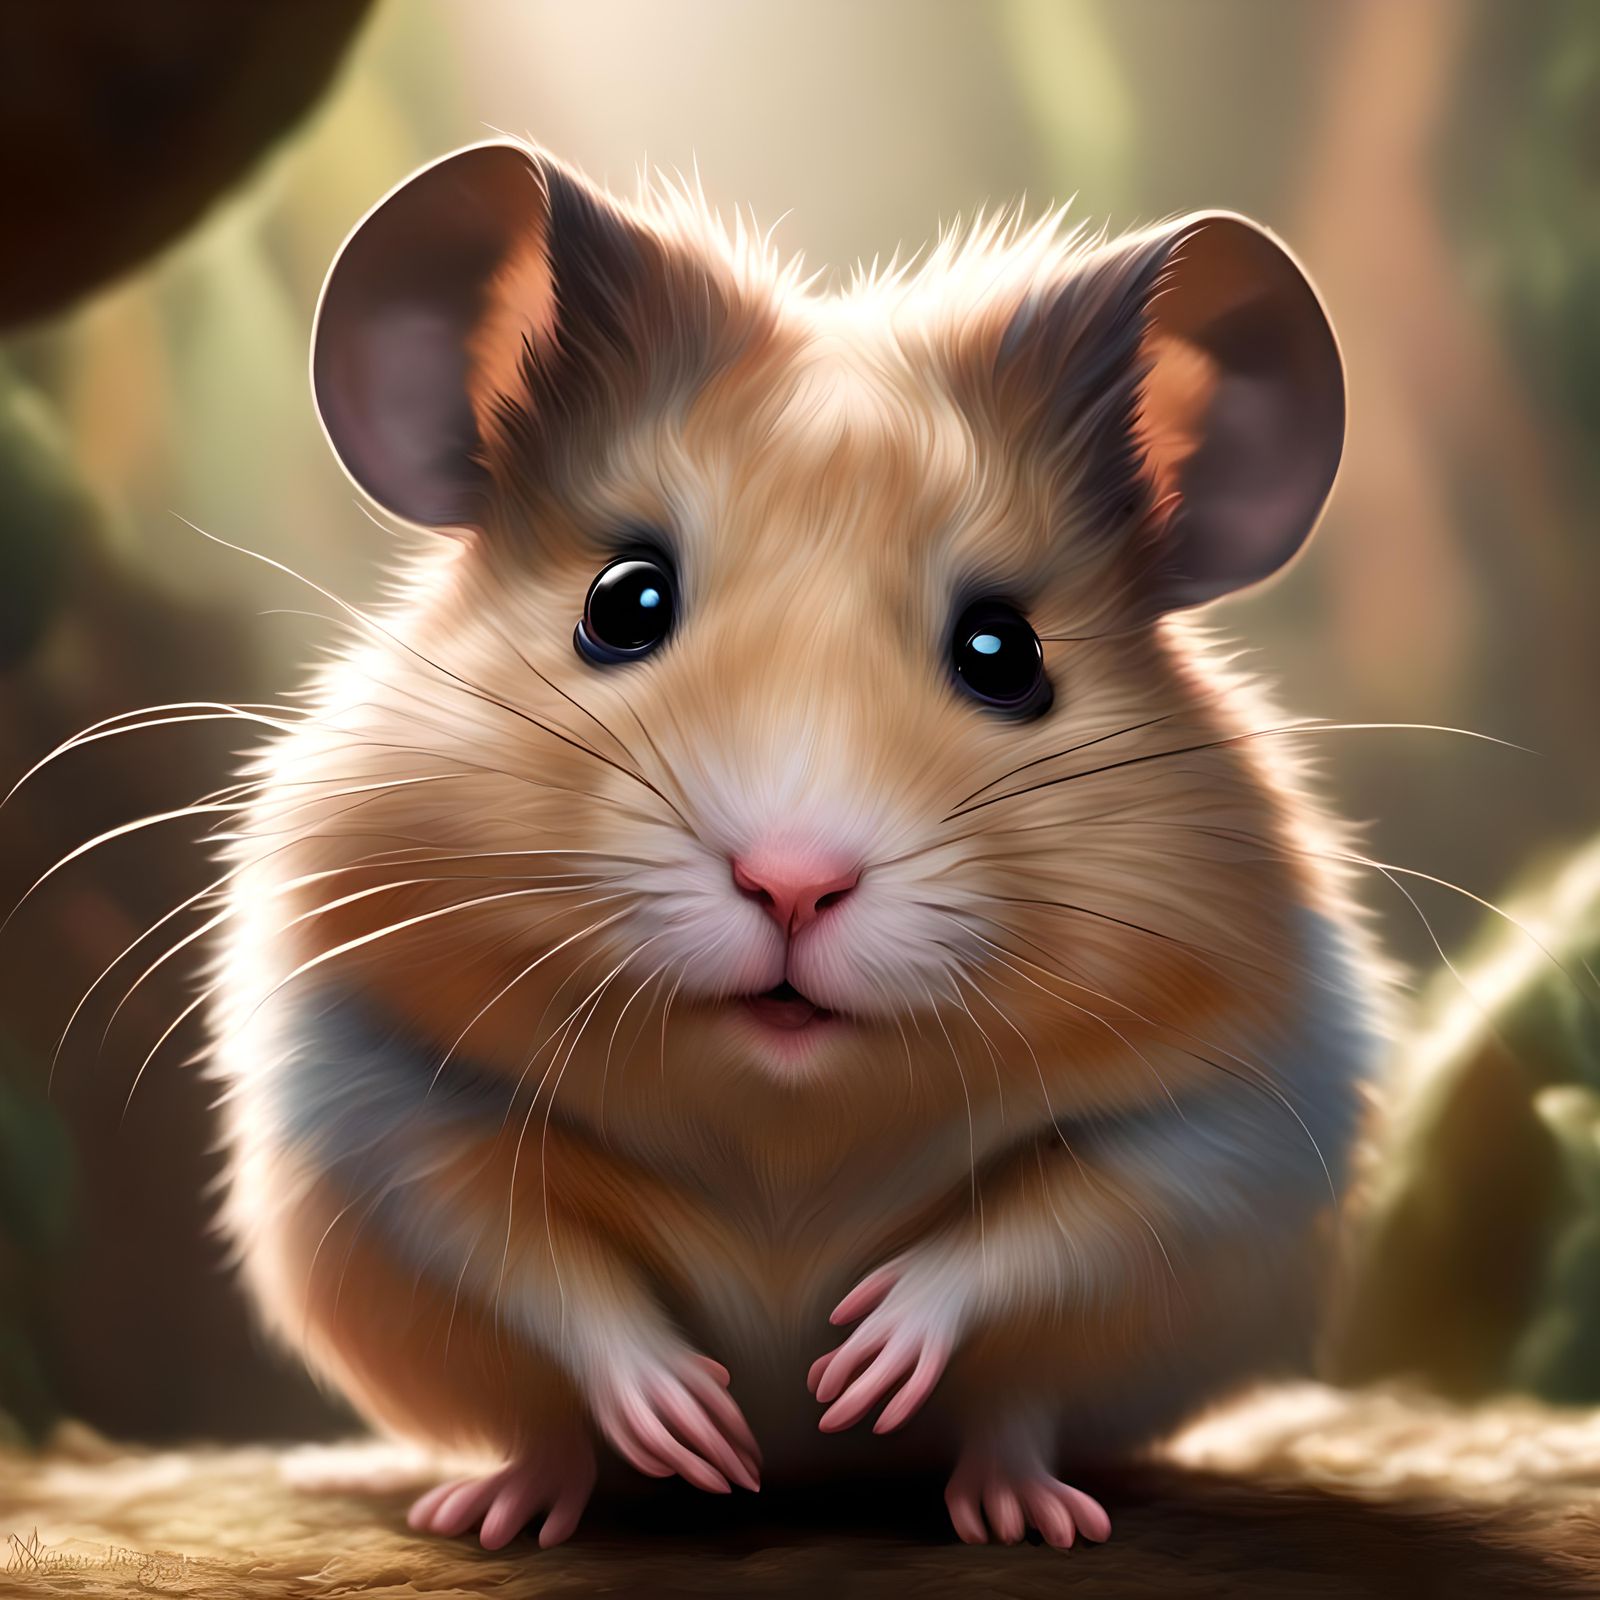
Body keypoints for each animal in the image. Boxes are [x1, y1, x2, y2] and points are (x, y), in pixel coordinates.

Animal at [208, 139, 1386, 1551]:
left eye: (1005, 652)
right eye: (624, 601)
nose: (791, 882)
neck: (782, 1136)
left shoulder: (1227, 1123)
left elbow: (1050, 1232)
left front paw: (860, 1363)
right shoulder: (377, 1097)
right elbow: (525, 1256)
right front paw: (692, 1423)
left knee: (1019, 1410)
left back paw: (1027, 1514)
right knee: (539, 1419)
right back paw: (495, 1508)